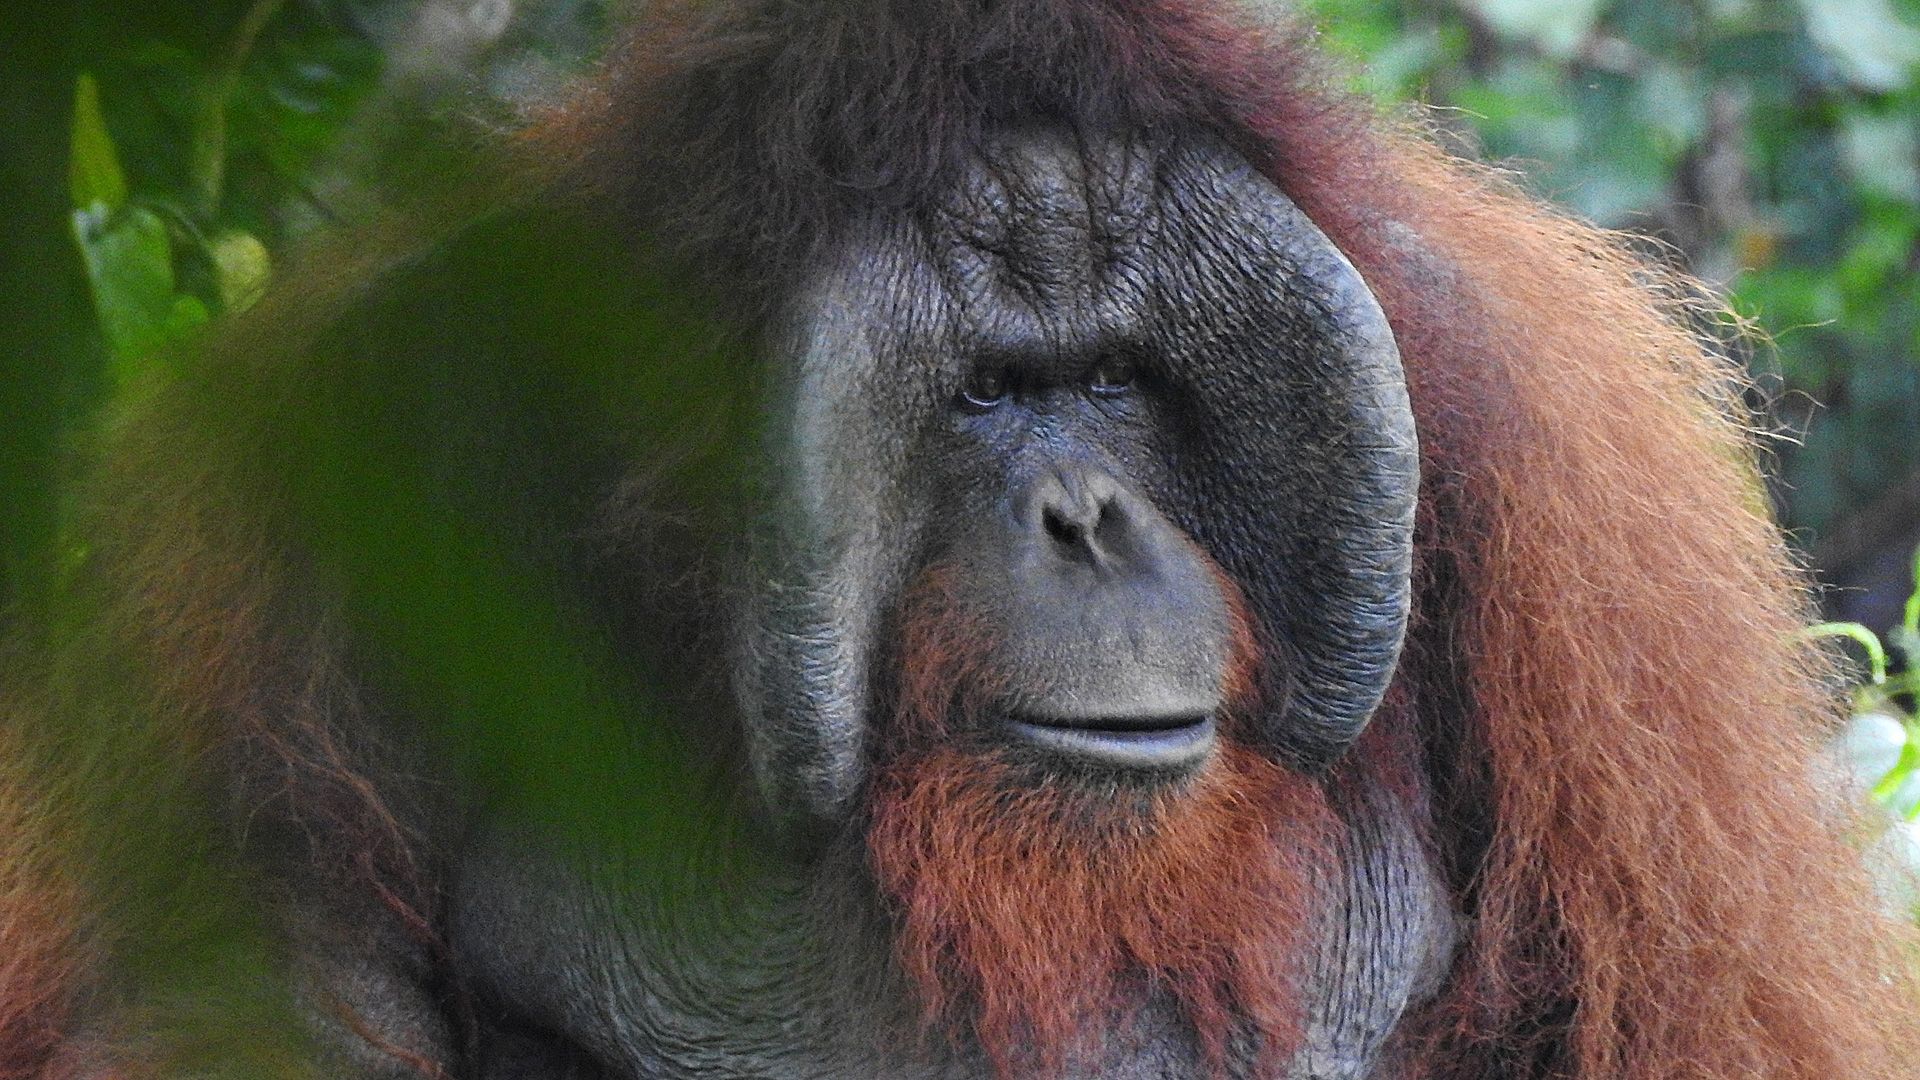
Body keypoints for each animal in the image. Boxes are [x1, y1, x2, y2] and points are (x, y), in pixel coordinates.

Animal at [1, 1, 1915, 1077]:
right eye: (991, 392)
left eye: (1122, 383)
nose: (1089, 518)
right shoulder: (324, 496)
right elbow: (264, 997)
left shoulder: (1573, 509)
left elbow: (1680, 1011)